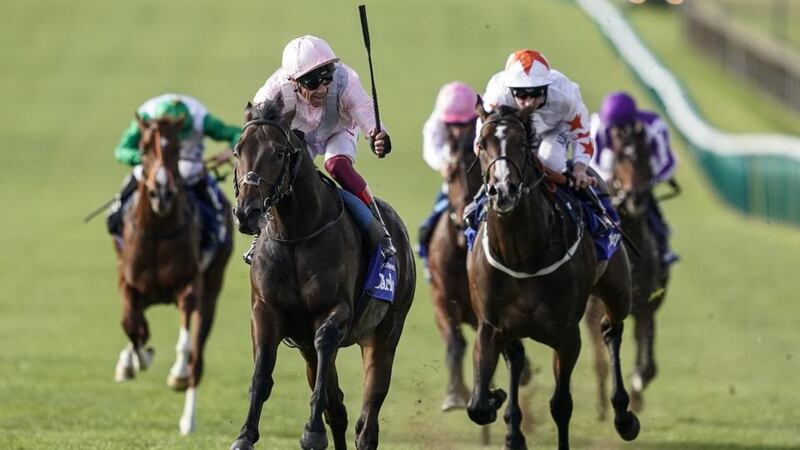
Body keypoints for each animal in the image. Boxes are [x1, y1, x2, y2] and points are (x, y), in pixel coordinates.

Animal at [114, 114, 236, 434]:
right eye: (144, 147)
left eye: (176, 148)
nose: (162, 191)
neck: (159, 232)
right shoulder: (129, 284)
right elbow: (131, 325)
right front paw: (135, 360)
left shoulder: (189, 286)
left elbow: (184, 344)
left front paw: (176, 372)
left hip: (212, 288)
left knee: (197, 358)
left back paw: (187, 419)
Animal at [228, 99, 416, 450]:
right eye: (238, 150)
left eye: (278, 152)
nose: (247, 212)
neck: (296, 235)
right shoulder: (265, 311)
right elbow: (262, 375)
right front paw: (245, 435)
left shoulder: (335, 312)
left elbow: (326, 340)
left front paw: (312, 432)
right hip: (306, 348)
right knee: (338, 407)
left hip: (385, 333)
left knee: (369, 414)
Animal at [466, 103, 640, 450]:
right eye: (481, 143)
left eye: (522, 143)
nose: (502, 190)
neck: (522, 255)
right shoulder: (491, 326)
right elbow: (477, 407)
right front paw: (495, 399)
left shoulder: (566, 334)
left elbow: (561, 404)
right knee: (516, 358)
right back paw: (513, 430)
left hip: (617, 289)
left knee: (611, 330)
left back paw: (624, 416)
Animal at [584, 122, 672, 414]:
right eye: (621, 157)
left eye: (648, 156)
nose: (635, 198)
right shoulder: (594, 311)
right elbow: (601, 359)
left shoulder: (646, 306)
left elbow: (647, 365)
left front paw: (637, 386)